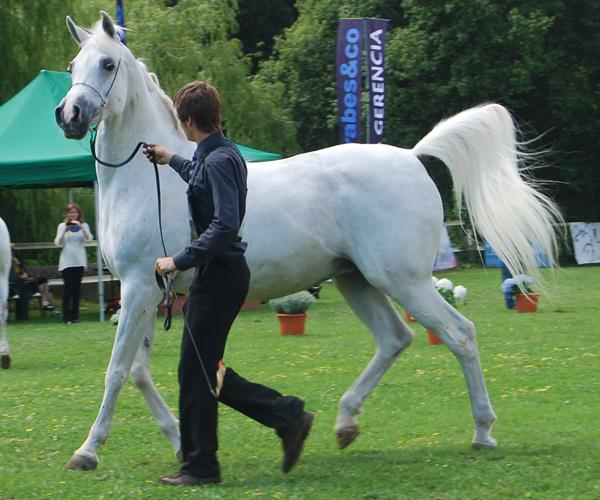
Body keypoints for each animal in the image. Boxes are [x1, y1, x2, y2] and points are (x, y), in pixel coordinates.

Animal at [54, 12, 560, 472]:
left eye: (107, 64)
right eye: (74, 63)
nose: (69, 115)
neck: (148, 180)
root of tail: (413, 156)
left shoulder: (141, 285)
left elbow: (118, 371)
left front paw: (87, 451)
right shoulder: (143, 292)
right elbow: (139, 372)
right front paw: (179, 441)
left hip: (404, 281)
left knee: (459, 334)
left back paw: (483, 432)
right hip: (358, 280)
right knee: (396, 338)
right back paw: (345, 424)